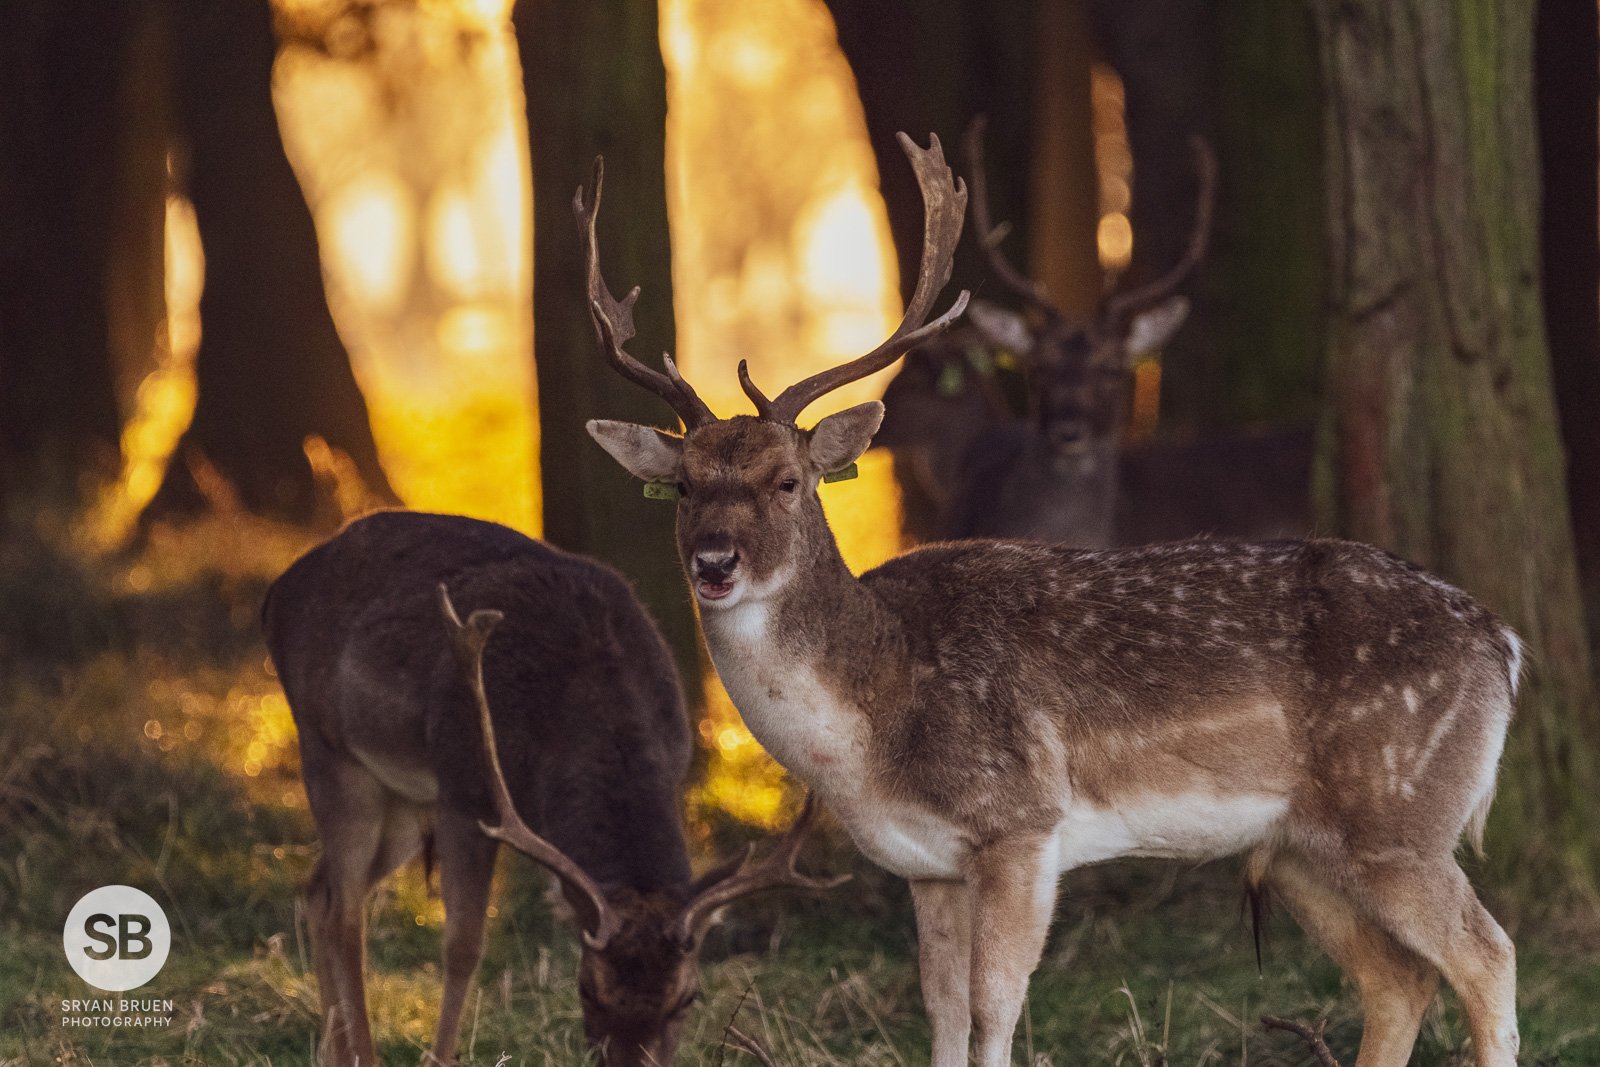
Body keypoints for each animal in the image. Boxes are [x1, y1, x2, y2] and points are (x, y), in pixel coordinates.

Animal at [262, 510, 843, 1067]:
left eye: (687, 999)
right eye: (587, 990)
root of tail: (277, 592)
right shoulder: (464, 787)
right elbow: (463, 946)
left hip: (403, 800)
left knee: (319, 888)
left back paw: (334, 1052)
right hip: (329, 749)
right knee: (347, 913)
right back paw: (362, 1053)